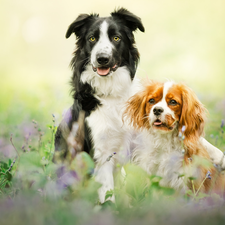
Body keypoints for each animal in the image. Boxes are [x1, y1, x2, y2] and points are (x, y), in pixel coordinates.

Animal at [55, 8, 145, 202]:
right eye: (92, 38)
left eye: (116, 38)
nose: (102, 58)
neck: (110, 93)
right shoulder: (101, 154)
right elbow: (107, 193)